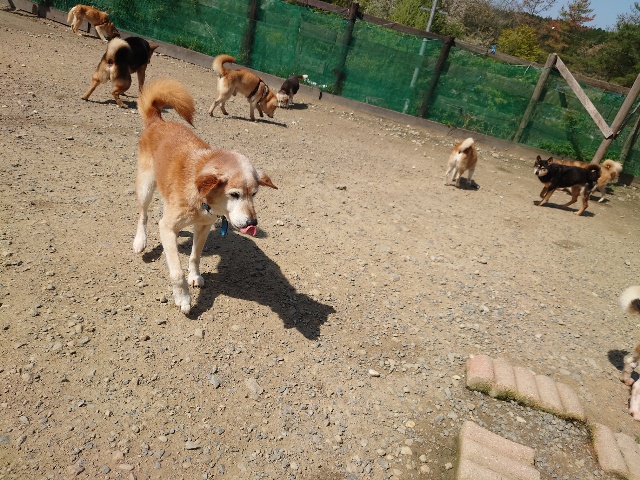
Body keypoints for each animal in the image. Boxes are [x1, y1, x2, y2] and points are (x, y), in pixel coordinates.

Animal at [133, 78, 278, 314]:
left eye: (254, 194)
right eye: (234, 194)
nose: (252, 223)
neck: (203, 202)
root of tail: (158, 121)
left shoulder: (203, 227)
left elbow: (194, 256)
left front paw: (195, 276)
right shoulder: (167, 227)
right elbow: (176, 271)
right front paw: (183, 297)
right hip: (146, 186)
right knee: (143, 215)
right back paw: (140, 241)